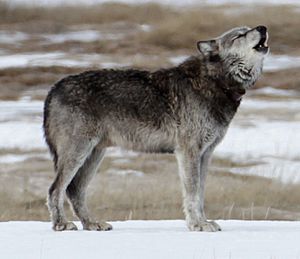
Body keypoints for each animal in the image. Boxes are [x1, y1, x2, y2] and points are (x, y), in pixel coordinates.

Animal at [42, 25, 270, 233]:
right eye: (240, 34)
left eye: (249, 28)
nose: (262, 28)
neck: (216, 81)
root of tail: (53, 88)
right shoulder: (189, 152)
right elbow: (192, 193)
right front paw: (197, 225)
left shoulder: (206, 154)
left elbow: (201, 193)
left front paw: (203, 222)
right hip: (78, 153)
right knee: (55, 189)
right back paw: (61, 224)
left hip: (94, 155)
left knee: (74, 190)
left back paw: (91, 223)